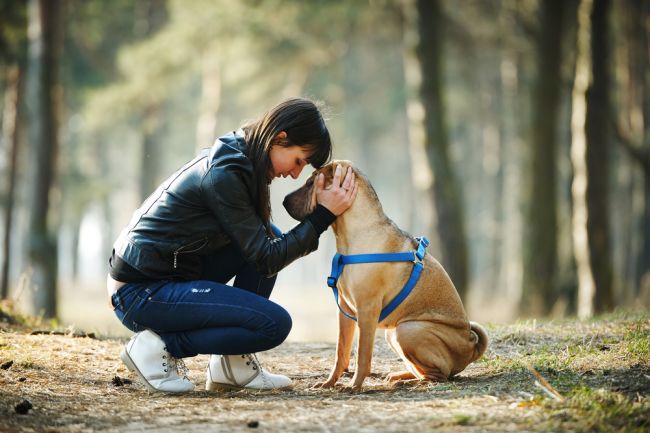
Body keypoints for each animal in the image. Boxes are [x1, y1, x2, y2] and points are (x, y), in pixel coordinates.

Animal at [284, 159, 486, 388]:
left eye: (311, 183)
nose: (283, 201)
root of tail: (471, 346)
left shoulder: (366, 309)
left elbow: (362, 353)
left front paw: (354, 385)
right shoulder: (344, 310)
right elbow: (341, 351)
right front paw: (329, 383)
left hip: (407, 330)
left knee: (440, 374)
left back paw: (407, 382)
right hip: (393, 333)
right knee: (423, 370)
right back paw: (398, 377)